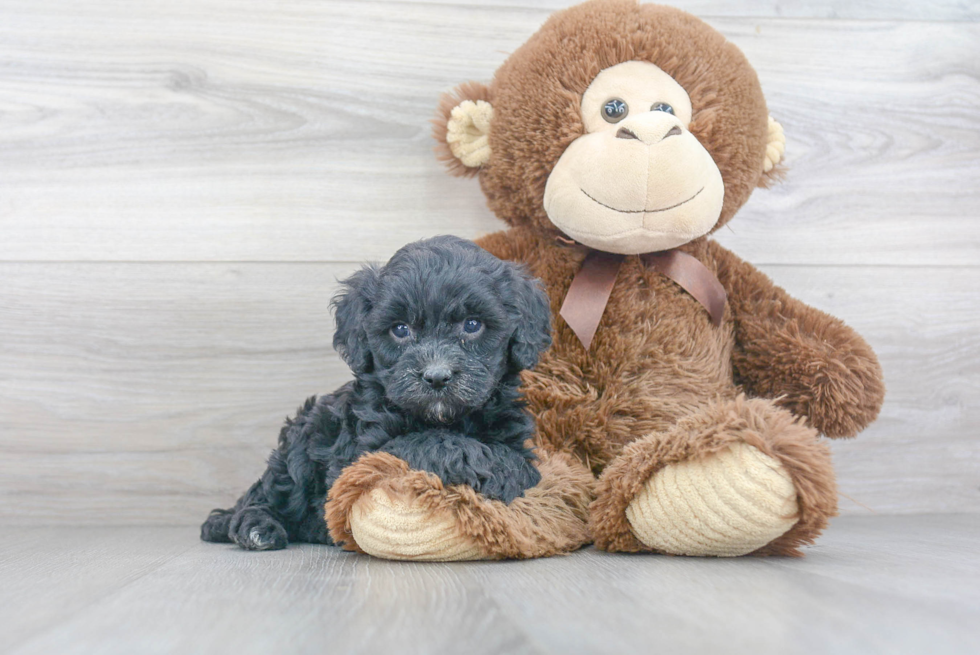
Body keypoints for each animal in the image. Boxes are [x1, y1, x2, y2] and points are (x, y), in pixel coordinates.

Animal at [201, 238, 552, 552]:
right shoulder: (364, 452)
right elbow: (422, 440)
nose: (437, 376)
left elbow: (515, 458)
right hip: (300, 445)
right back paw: (255, 527)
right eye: (400, 329)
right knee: (268, 495)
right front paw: (475, 459)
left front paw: (504, 471)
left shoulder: (512, 432)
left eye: (472, 325)